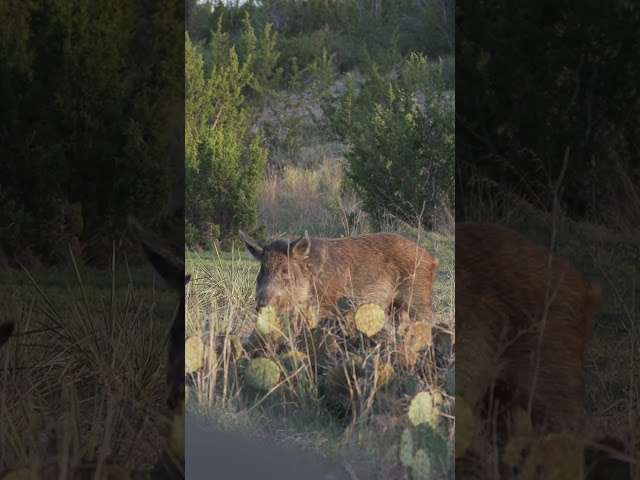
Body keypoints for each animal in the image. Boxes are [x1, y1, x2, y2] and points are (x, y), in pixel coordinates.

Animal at [239, 230, 440, 323]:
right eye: (262, 270)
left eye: (285, 270)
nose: (261, 303)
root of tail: (432, 258)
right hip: (396, 307)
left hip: (418, 298)